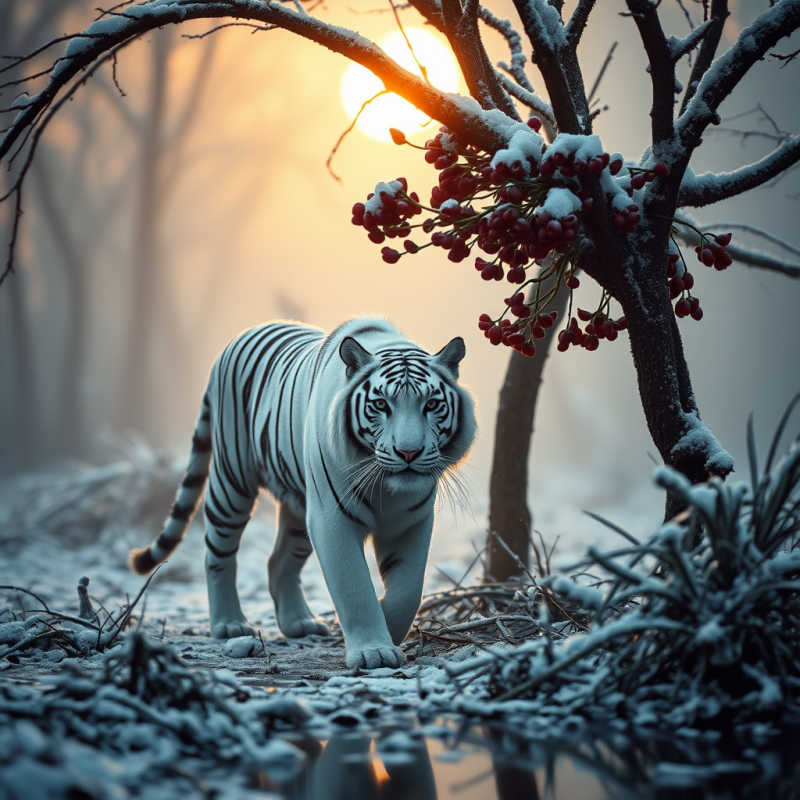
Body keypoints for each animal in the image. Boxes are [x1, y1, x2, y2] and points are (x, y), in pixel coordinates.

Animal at [130, 317, 477, 669]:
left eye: (431, 404)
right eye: (381, 404)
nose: (409, 452)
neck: (387, 488)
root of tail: (241, 335)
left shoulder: (411, 522)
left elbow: (408, 590)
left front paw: (388, 632)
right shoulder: (333, 518)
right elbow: (355, 587)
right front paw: (373, 651)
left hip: (300, 507)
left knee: (278, 560)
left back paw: (299, 621)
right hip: (231, 484)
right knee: (218, 554)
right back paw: (229, 624)